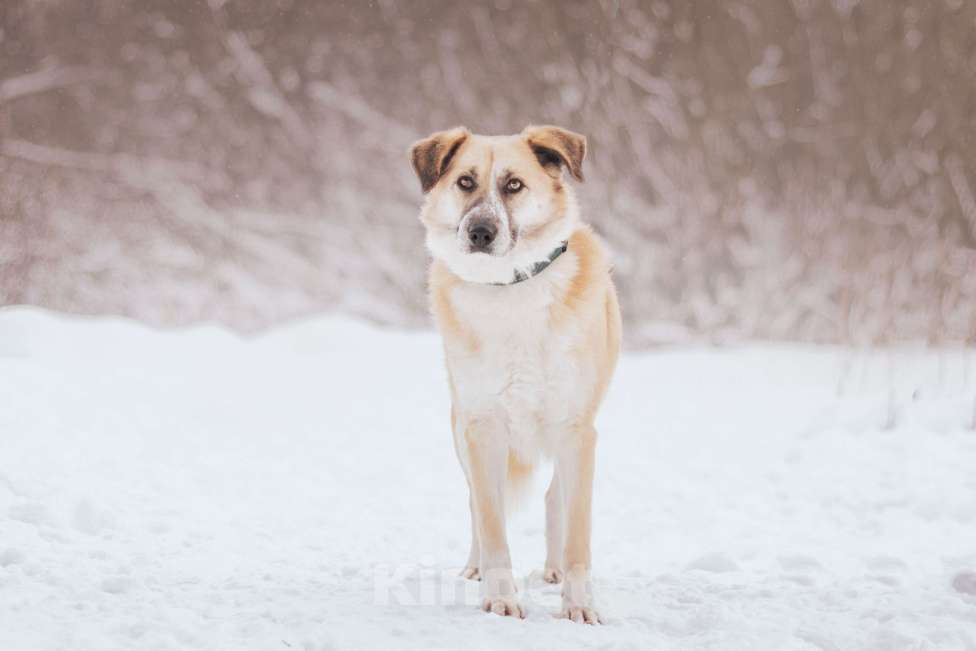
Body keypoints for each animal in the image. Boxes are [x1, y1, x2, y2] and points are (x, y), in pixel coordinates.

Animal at [408, 125, 620, 624]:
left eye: (514, 185)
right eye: (465, 182)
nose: (480, 231)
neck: (509, 286)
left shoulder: (577, 430)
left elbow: (577, 530)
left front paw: (579, 605)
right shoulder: (481, 427)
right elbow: (490, 520)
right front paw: (500, 596)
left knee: (554, 498)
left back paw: (554, 569)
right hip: (461, 433)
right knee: (477, 503)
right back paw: (474, 568)